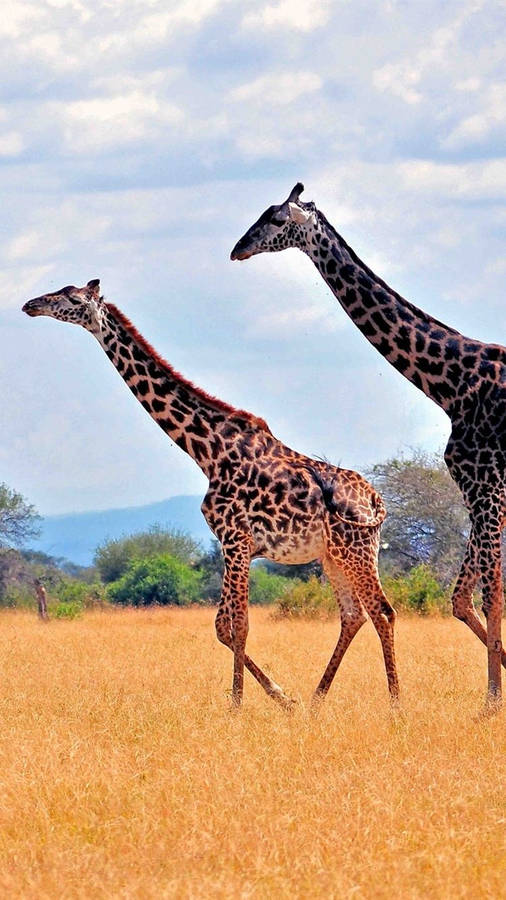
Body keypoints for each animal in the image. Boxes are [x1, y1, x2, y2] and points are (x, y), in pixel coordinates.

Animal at [23, 279, 399, 709]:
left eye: (70, 297)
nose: (31, 304)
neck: (206, 451)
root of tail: (375, 501)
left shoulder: (235, 539)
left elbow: (240, 625)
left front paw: (238, 705)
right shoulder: (231, 544)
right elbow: (222, 626)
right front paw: (282, 698)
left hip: (357, 550)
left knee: (382, 612)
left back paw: (395, 705)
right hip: (333, 555)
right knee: (353, 615)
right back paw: (315, 701)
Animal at [231, 182, 506, 711]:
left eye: (277, 219)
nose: (238, 249)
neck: (451, 384)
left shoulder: (487, 483)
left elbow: (490, 592)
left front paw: (490, 704)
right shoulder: (479, 489)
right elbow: (463, 596)